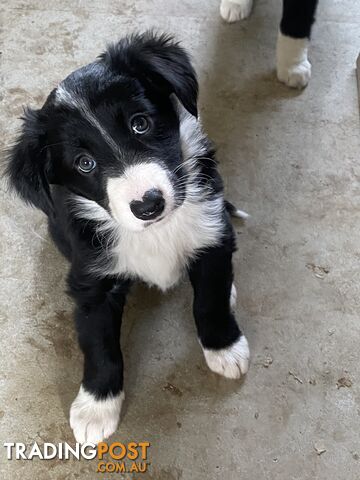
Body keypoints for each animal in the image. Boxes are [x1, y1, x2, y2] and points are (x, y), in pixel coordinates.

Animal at [5, 32, 249, 446]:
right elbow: (99, 342)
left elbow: (210, 300)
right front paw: (95, 407)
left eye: (140, 123)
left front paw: (225, 347)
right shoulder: (91, 280)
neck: (157, 232)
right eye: (84, 163)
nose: (148, 204)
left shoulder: (211, 234)